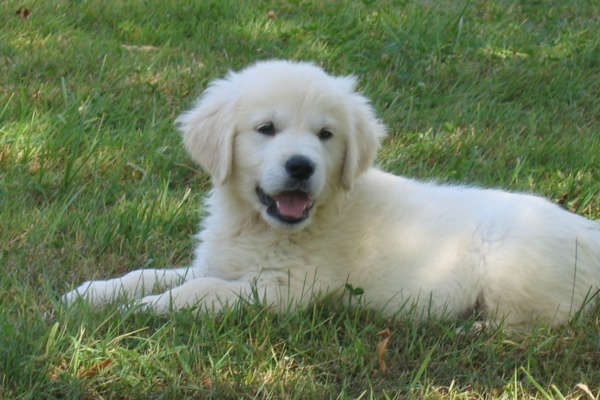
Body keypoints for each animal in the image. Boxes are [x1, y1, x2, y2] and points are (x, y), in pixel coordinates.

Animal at [62, 58, 600, 328]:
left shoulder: (285, 289)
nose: (300, 166)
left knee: (544, 324)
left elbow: (202, 292)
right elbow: (151, 273)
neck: (262, 226)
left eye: (325, 135)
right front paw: (92, 293)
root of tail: (590, 232)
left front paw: (146, 310)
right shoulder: (221, 262)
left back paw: (478, 328)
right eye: (266, 129)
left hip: (514, 269)